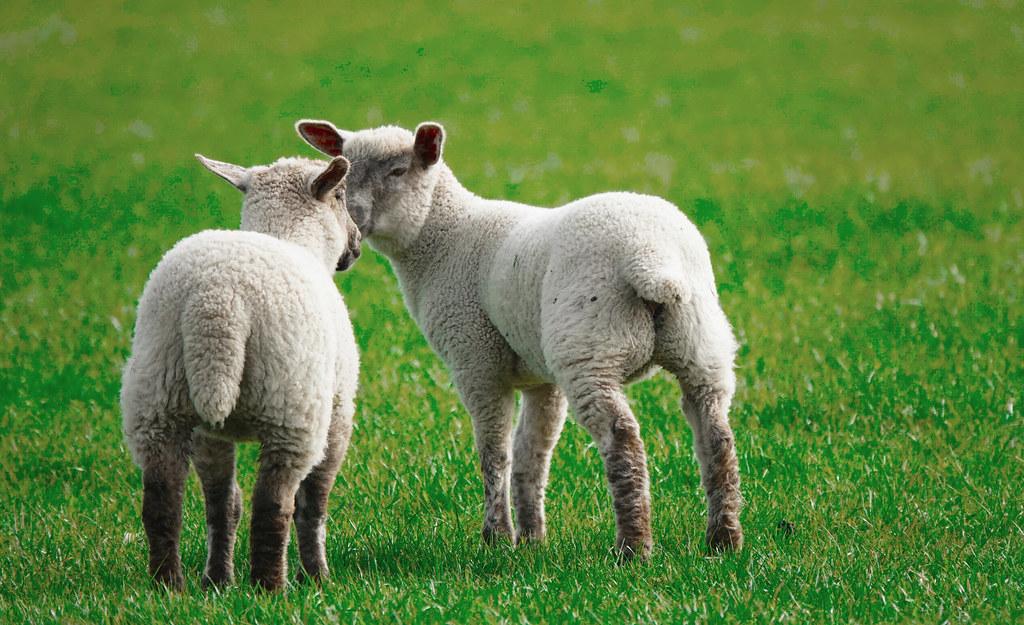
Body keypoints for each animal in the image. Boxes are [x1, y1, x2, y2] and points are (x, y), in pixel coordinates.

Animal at [120, 153, 361, 590]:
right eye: (341, 195)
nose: (357, 245)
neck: (290, 235)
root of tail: (217, 302)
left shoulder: (209, 434)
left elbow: (222, 504)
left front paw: (217, 580)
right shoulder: (337, 413)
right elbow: (315, 502)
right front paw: (317, 577)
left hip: (160, 397)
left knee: (163, 500)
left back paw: (170, 585)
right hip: (291, 407)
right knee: (275, 505)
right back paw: (271, 587)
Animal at [294, 120, 744, 559]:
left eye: (398, 171)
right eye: (344, 171)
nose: (354, 217)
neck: (442, 239)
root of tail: (651, 259)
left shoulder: (475, 359)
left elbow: (495, 451)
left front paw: (497, 537)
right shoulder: (541, 378)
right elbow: (533, 453)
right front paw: (531, 538)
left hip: (588, 349)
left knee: (623, 437)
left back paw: (633, 547)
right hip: (699, 342)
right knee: (716, 433)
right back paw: (723, 540)